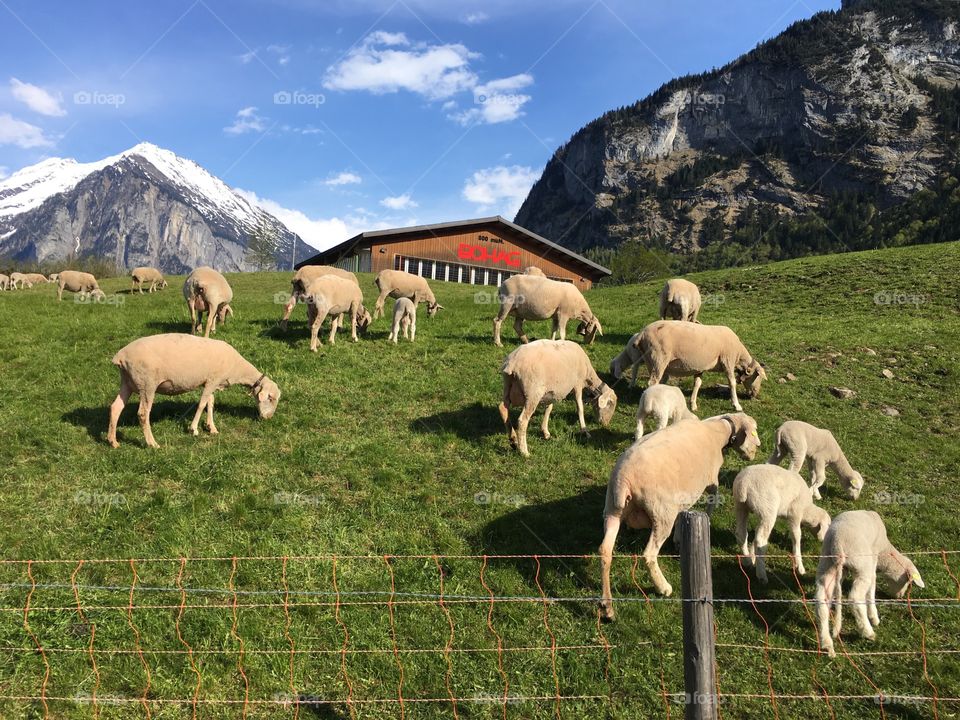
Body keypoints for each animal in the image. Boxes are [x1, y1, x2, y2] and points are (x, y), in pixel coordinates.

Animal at [106, 333, 280, 448]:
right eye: (270, 398)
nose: (269, 418)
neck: (237, 368)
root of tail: (120, 356)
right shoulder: (213, 380)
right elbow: (202, 403)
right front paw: (194, 429)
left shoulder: (210, 382)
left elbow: (210, 402)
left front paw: (211, 427)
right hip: (147, 384)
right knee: (143, 414)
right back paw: (152, 443)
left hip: (127, 381)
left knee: (116, 407)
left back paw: (113, 441)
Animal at [600, 413, 761, 615]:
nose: (757, 449)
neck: (718, 431)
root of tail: (624, 480)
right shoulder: (709, 482)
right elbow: (712, 501)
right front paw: (705, 522)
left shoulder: (683, 494)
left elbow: (682, 513)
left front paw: (678, 539)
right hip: (661, 512)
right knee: (649, 554)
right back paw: (663, 587)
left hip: (612, 509)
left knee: (605, 551)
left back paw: (607, 606)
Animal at [634, 320, 766, 412]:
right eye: (758, 376)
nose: (755, 395)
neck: (739, 356)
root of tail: (642, 334)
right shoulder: (728, 361)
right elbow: (732, 383)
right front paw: (736, 405)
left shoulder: (700, 367)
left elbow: (697, 383)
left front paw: (693, 404)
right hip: (658, 359)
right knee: (652, 382)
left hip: (649, 360)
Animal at [814, 510, 924, 657]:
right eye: (907, 581)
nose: (899, 597)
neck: (885, 550)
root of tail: (837, 544)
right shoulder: (873, 558)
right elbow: (872, 586)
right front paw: (874, 616)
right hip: (861, 565)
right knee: (855, 597)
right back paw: (868, 632)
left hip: (826, 565)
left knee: (822, 600)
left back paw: (827, 643)